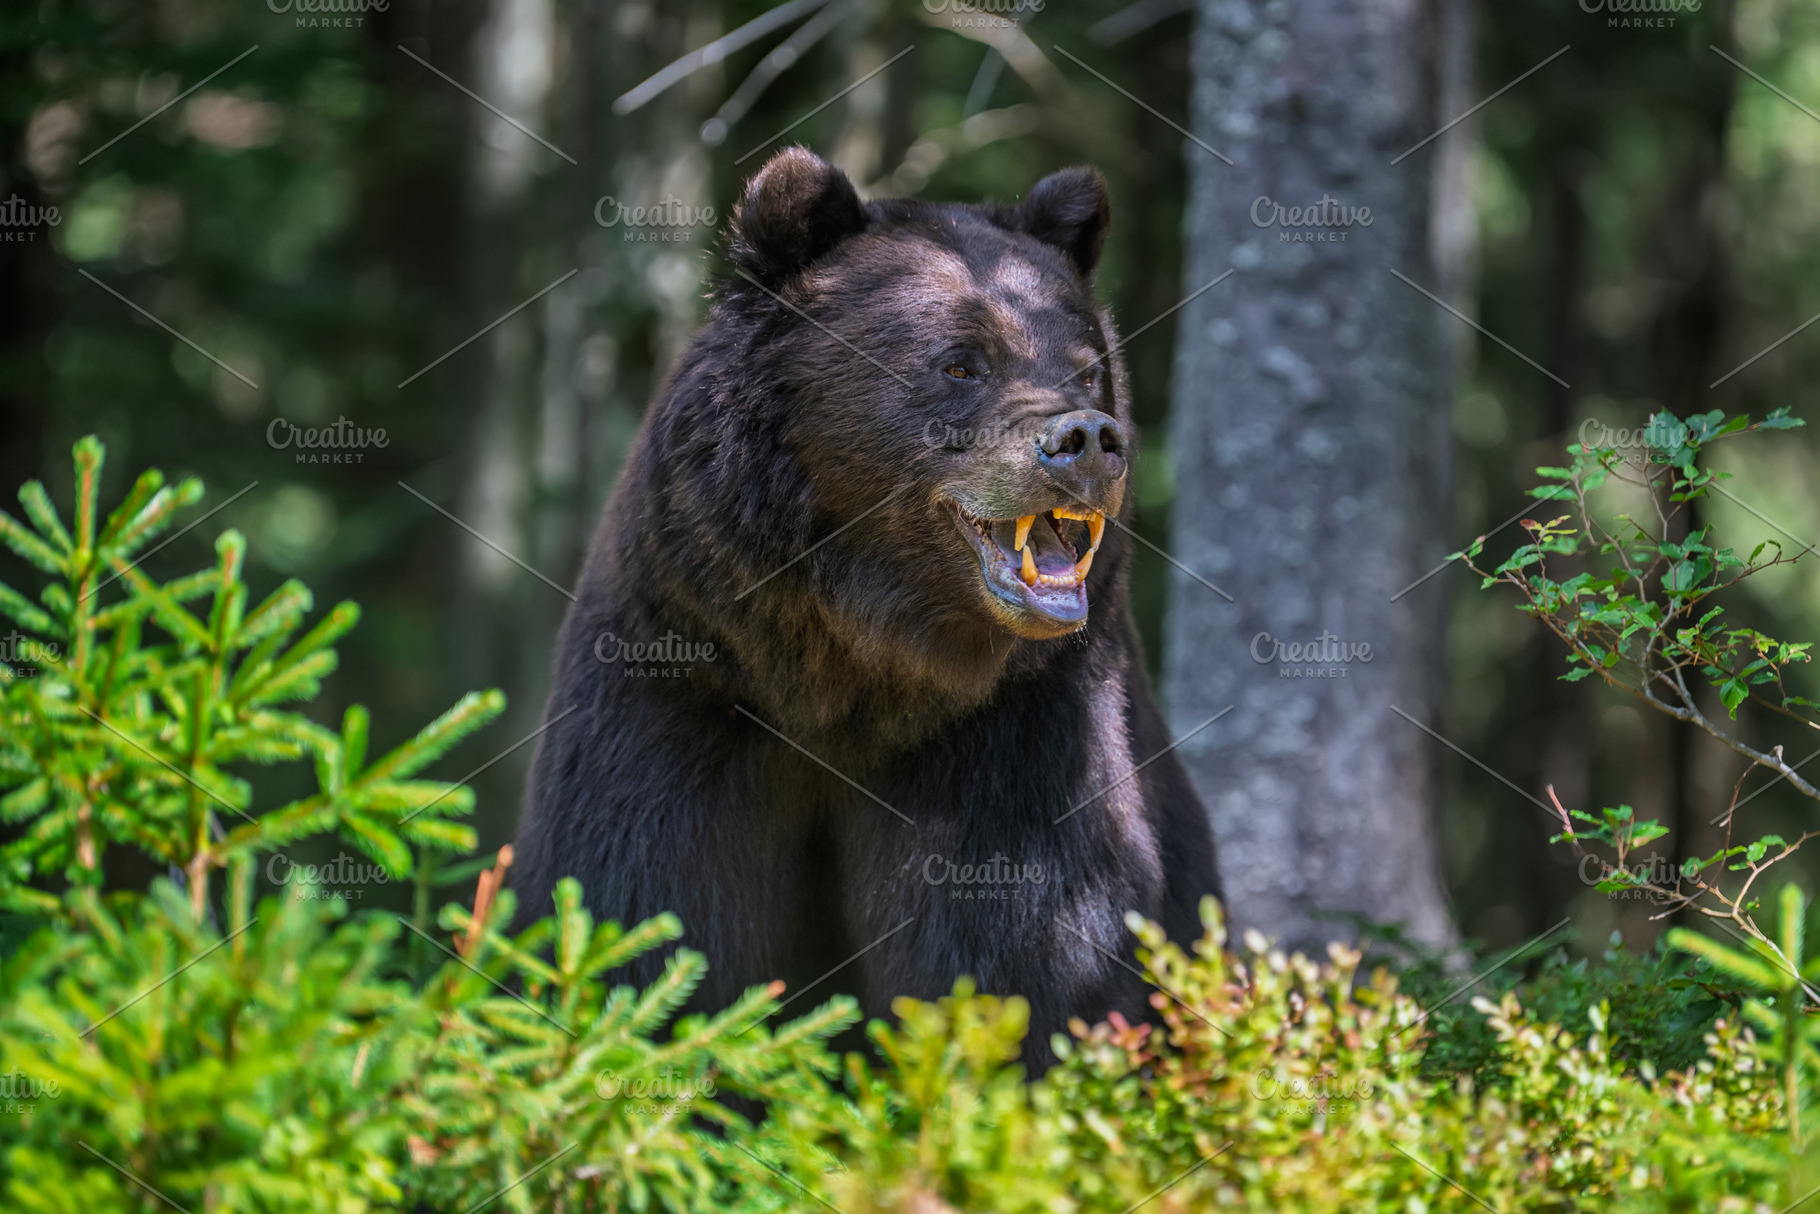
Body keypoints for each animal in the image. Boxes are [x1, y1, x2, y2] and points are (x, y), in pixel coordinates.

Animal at [511, 147, 1220, 1067]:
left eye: (1087, 366)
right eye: (960, 362)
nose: (1087, 441)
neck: (849, 670)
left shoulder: (1017, 726)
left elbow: (1028, 946)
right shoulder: (681, 686)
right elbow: (646, 909)